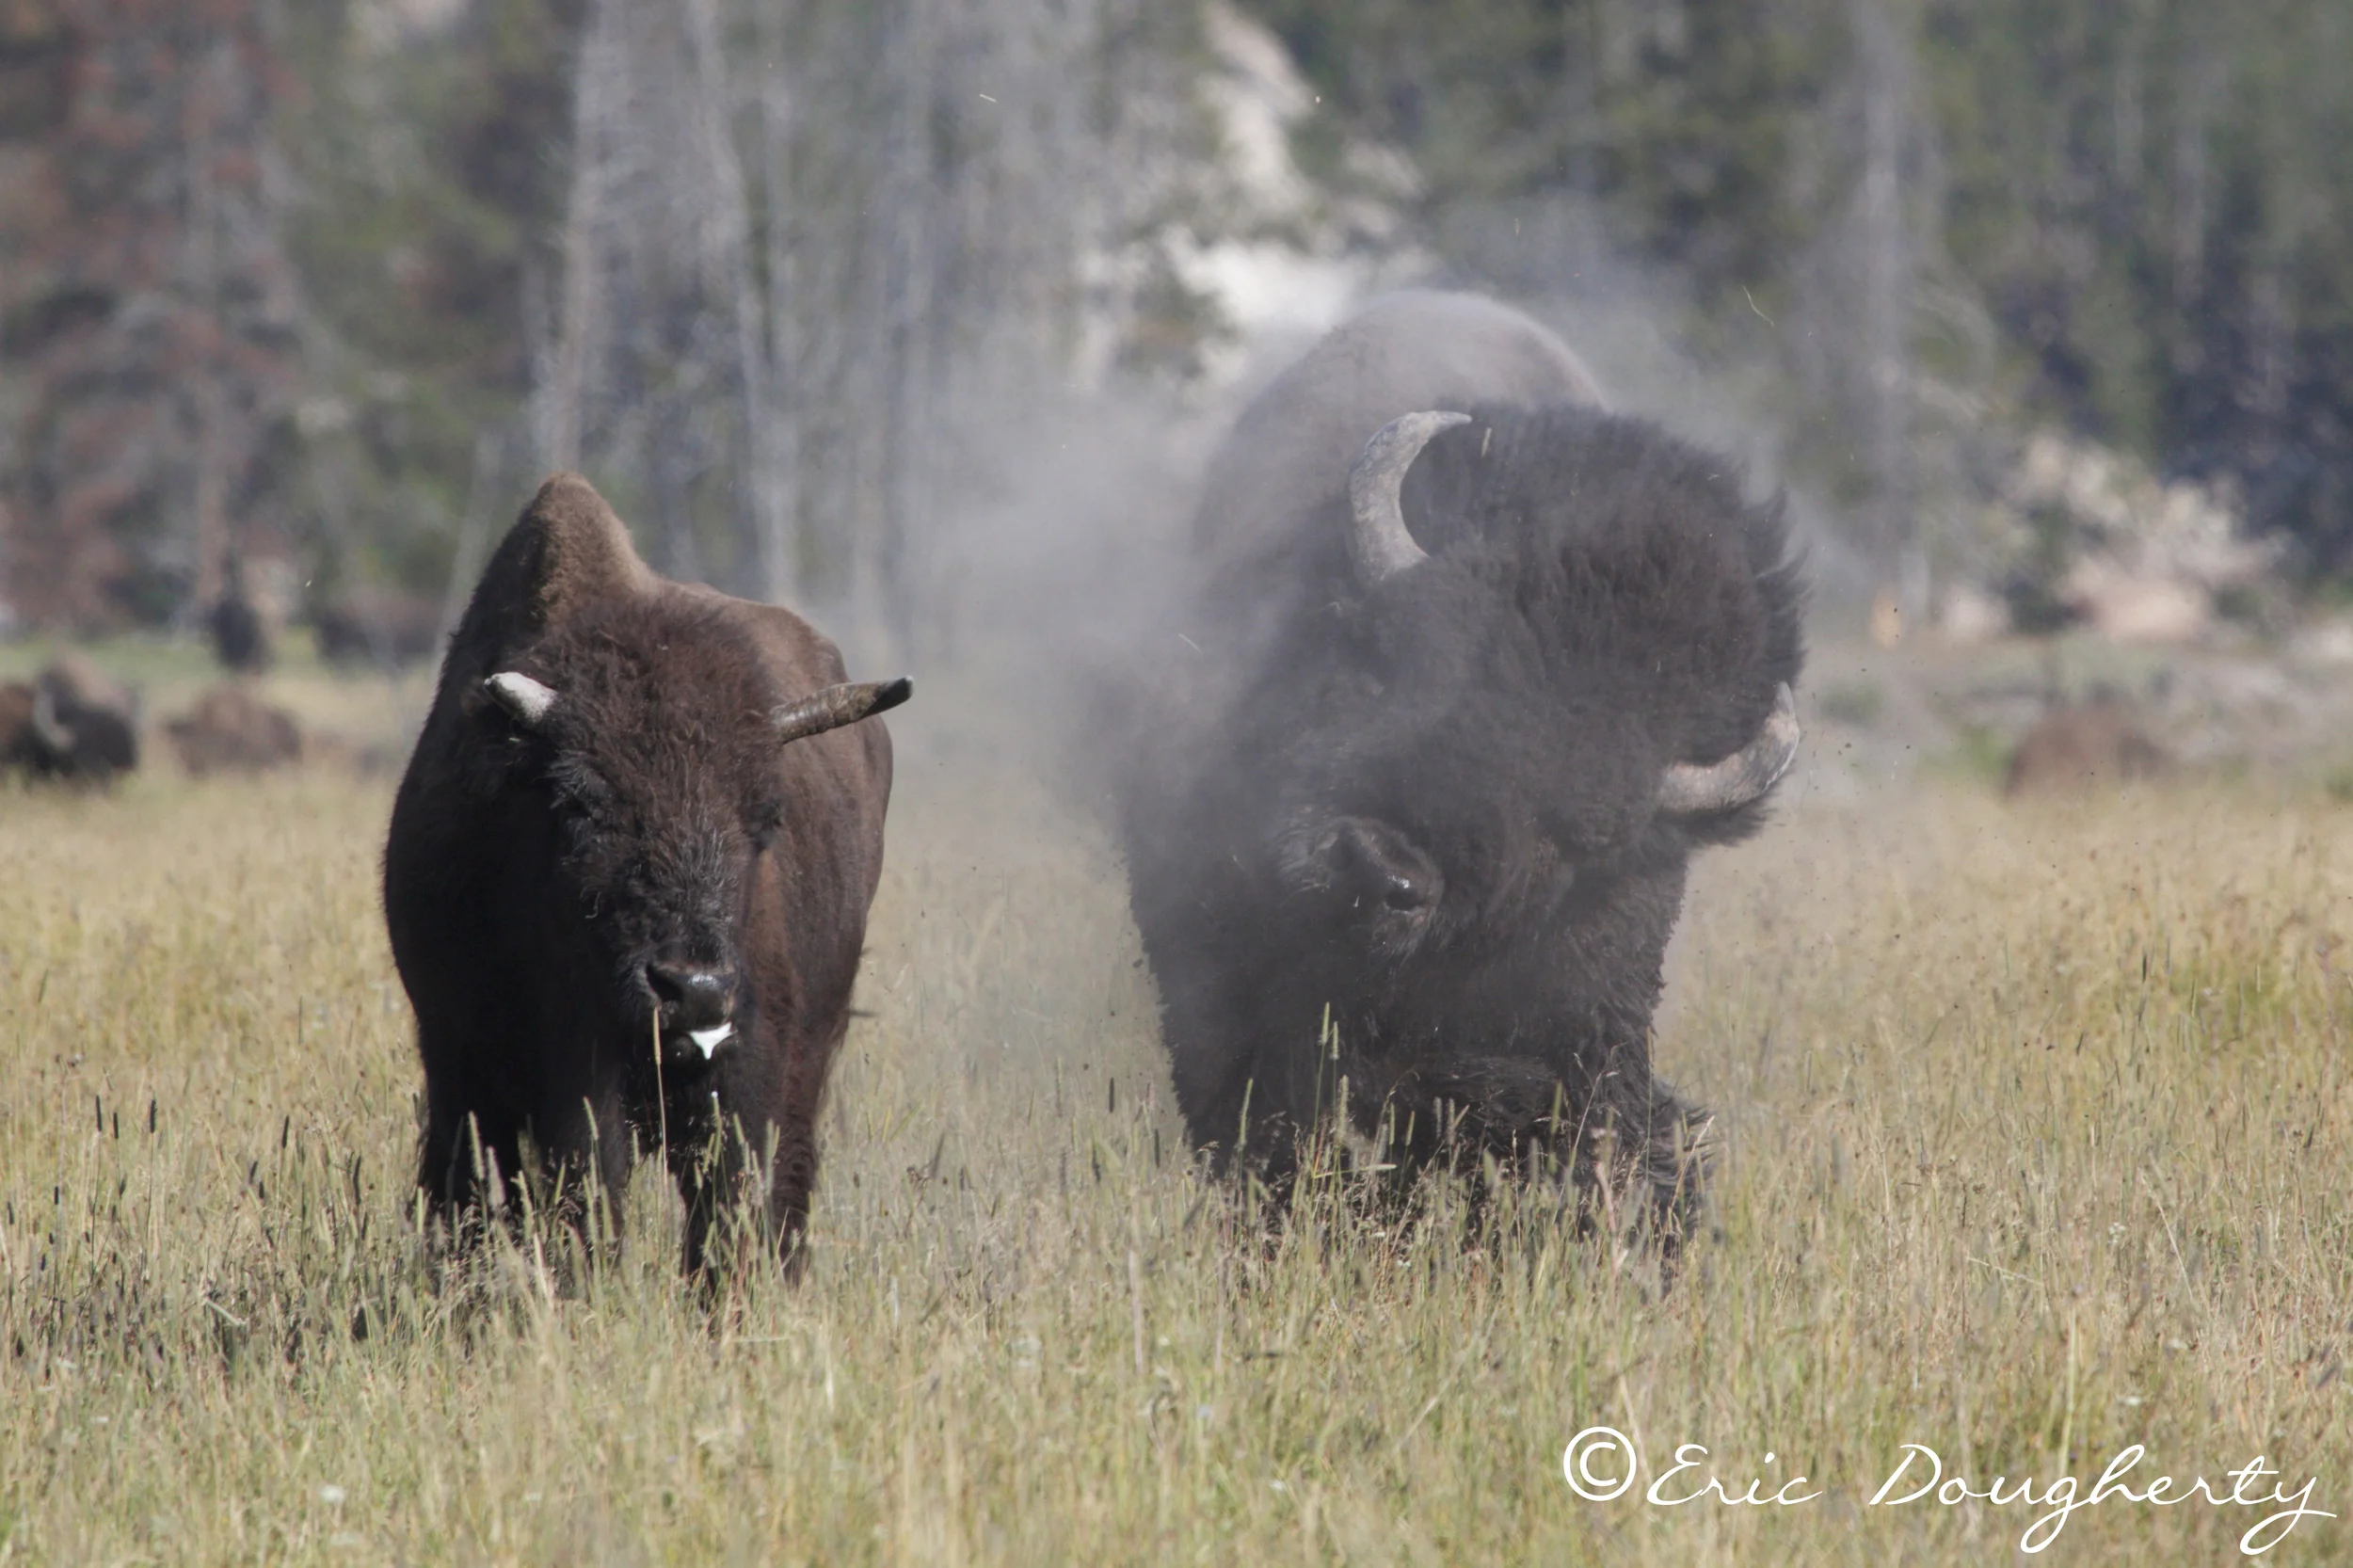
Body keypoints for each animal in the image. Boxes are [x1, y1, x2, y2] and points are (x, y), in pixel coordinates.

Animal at [384, 474, 907, 1277]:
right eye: (578, 805)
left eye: (767, 816)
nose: (692, 990)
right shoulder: (493, 1063)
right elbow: (573, 1193)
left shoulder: (747, 1069)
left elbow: (726, 1204)